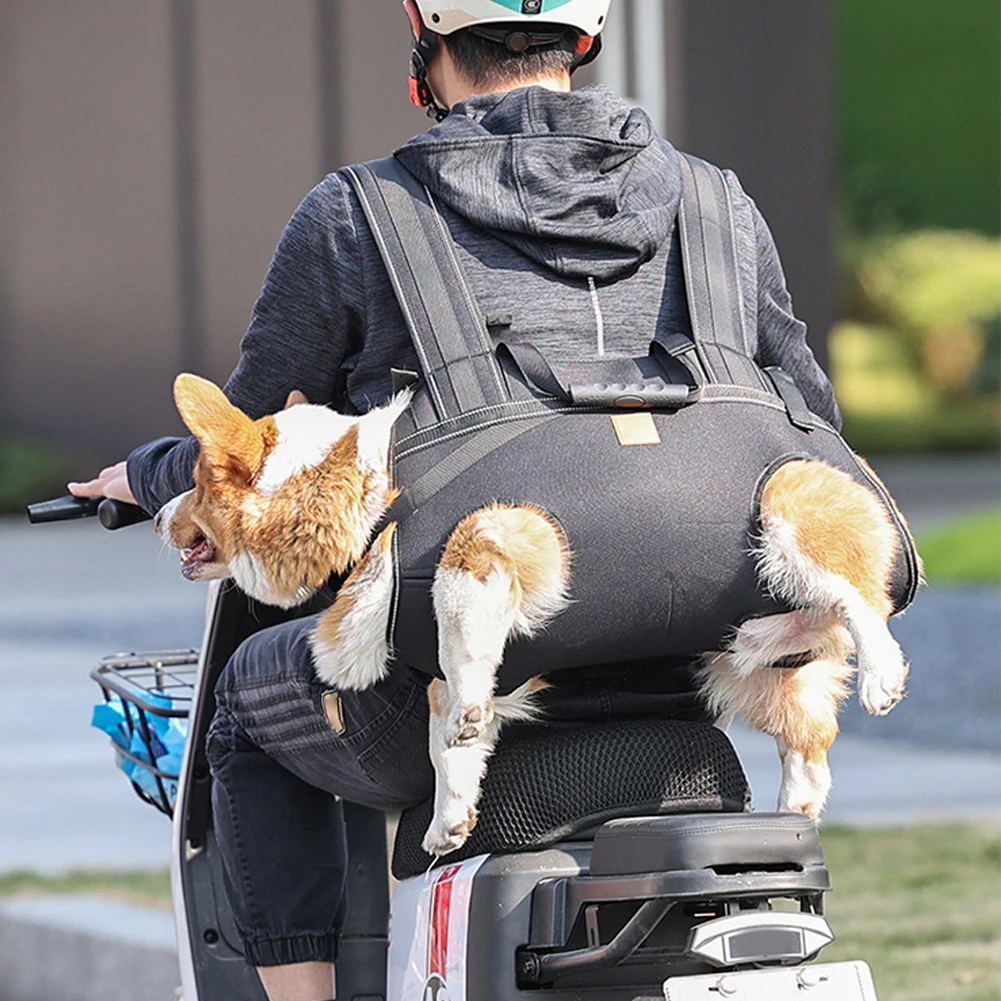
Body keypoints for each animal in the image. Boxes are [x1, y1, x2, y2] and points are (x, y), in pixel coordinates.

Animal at [156, 372, 916, 856]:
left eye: (194, 483)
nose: (159, 516)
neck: (369, 495)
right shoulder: (430, 676)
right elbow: (449, 748)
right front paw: (449, 822)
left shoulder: (488, 541)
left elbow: (463, 639)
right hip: (748, 666)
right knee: (810, 741)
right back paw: (790, 815)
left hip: (791, 515)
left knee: (861, 600)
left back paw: (881, 674)